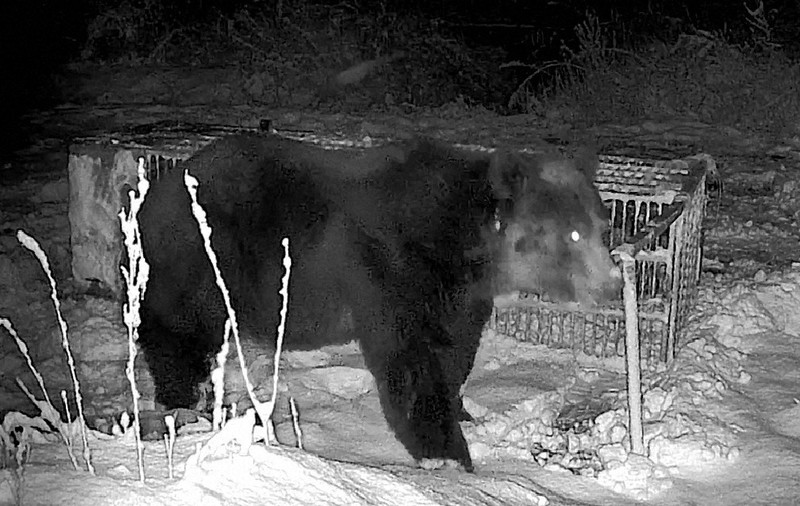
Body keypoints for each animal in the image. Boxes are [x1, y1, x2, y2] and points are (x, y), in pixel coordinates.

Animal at [137, 133, 621, 472]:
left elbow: (455, 350)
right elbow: (411, 360)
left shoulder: (459, 295)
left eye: (601, 226)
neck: (467, 248)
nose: (612, 286)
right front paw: (446, 453)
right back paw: (185, 402)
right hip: (201, 259)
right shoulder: (393, 267)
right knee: (176, 332)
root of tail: (160, 186)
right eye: (570, 234)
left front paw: (461, 412)